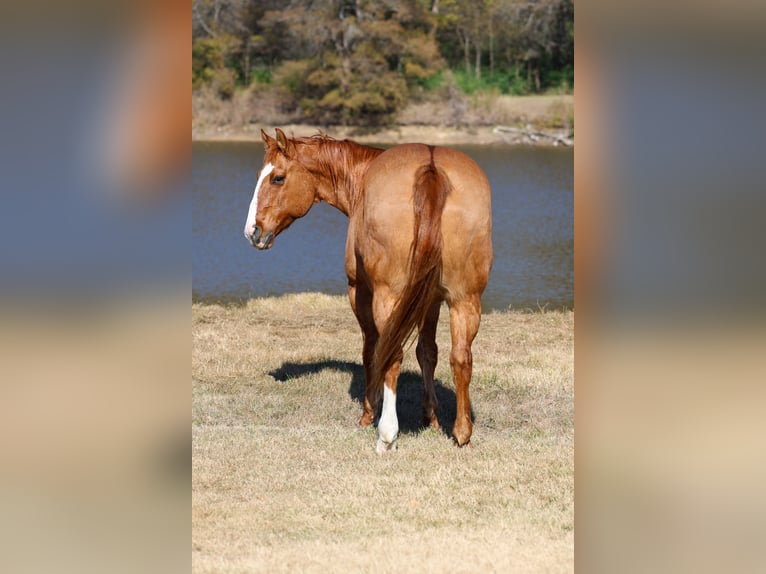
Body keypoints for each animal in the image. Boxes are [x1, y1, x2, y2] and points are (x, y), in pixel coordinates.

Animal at [244, 129, 492, 453]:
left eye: (278, 178)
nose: (252, 231)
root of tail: (431, 169)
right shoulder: (431, 299)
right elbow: (428, 352)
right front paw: (431, 418)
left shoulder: (360, 292)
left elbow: (371, 351)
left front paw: (368, 413)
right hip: (465, 300)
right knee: (461, 358)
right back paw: (462, 433)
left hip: (390, 298)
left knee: (393, 355)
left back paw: (387, 434)